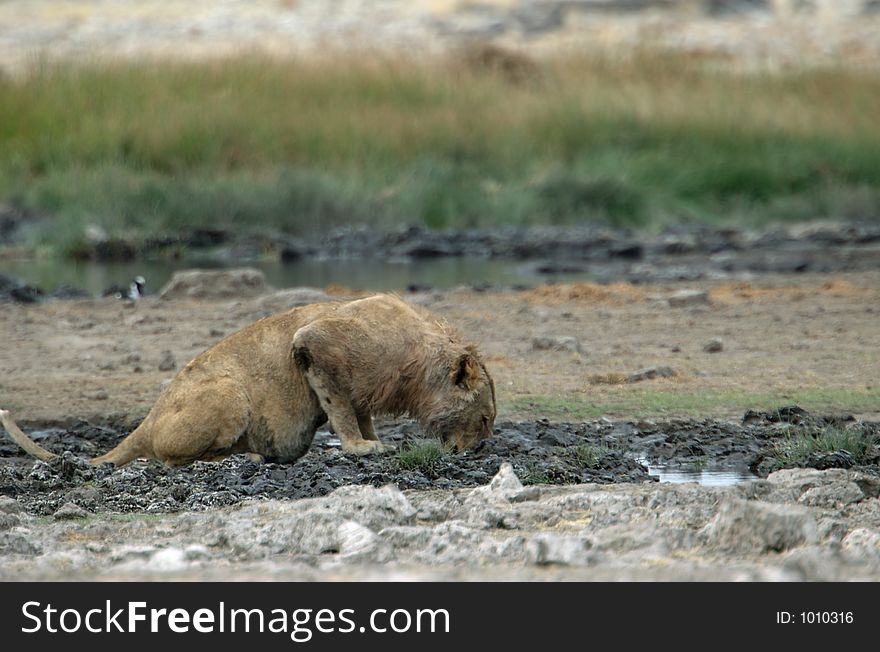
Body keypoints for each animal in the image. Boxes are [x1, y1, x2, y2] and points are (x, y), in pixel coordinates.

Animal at [0, 292, 496, 466]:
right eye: (487, 419)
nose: (480, 448)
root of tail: (151, 416)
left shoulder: (359, 385)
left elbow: (360, 413)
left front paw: (374, 441)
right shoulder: (315, 343)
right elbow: (341, 412)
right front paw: (362, 448)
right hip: (227, 393)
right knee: (171, 459)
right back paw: (245, 457)